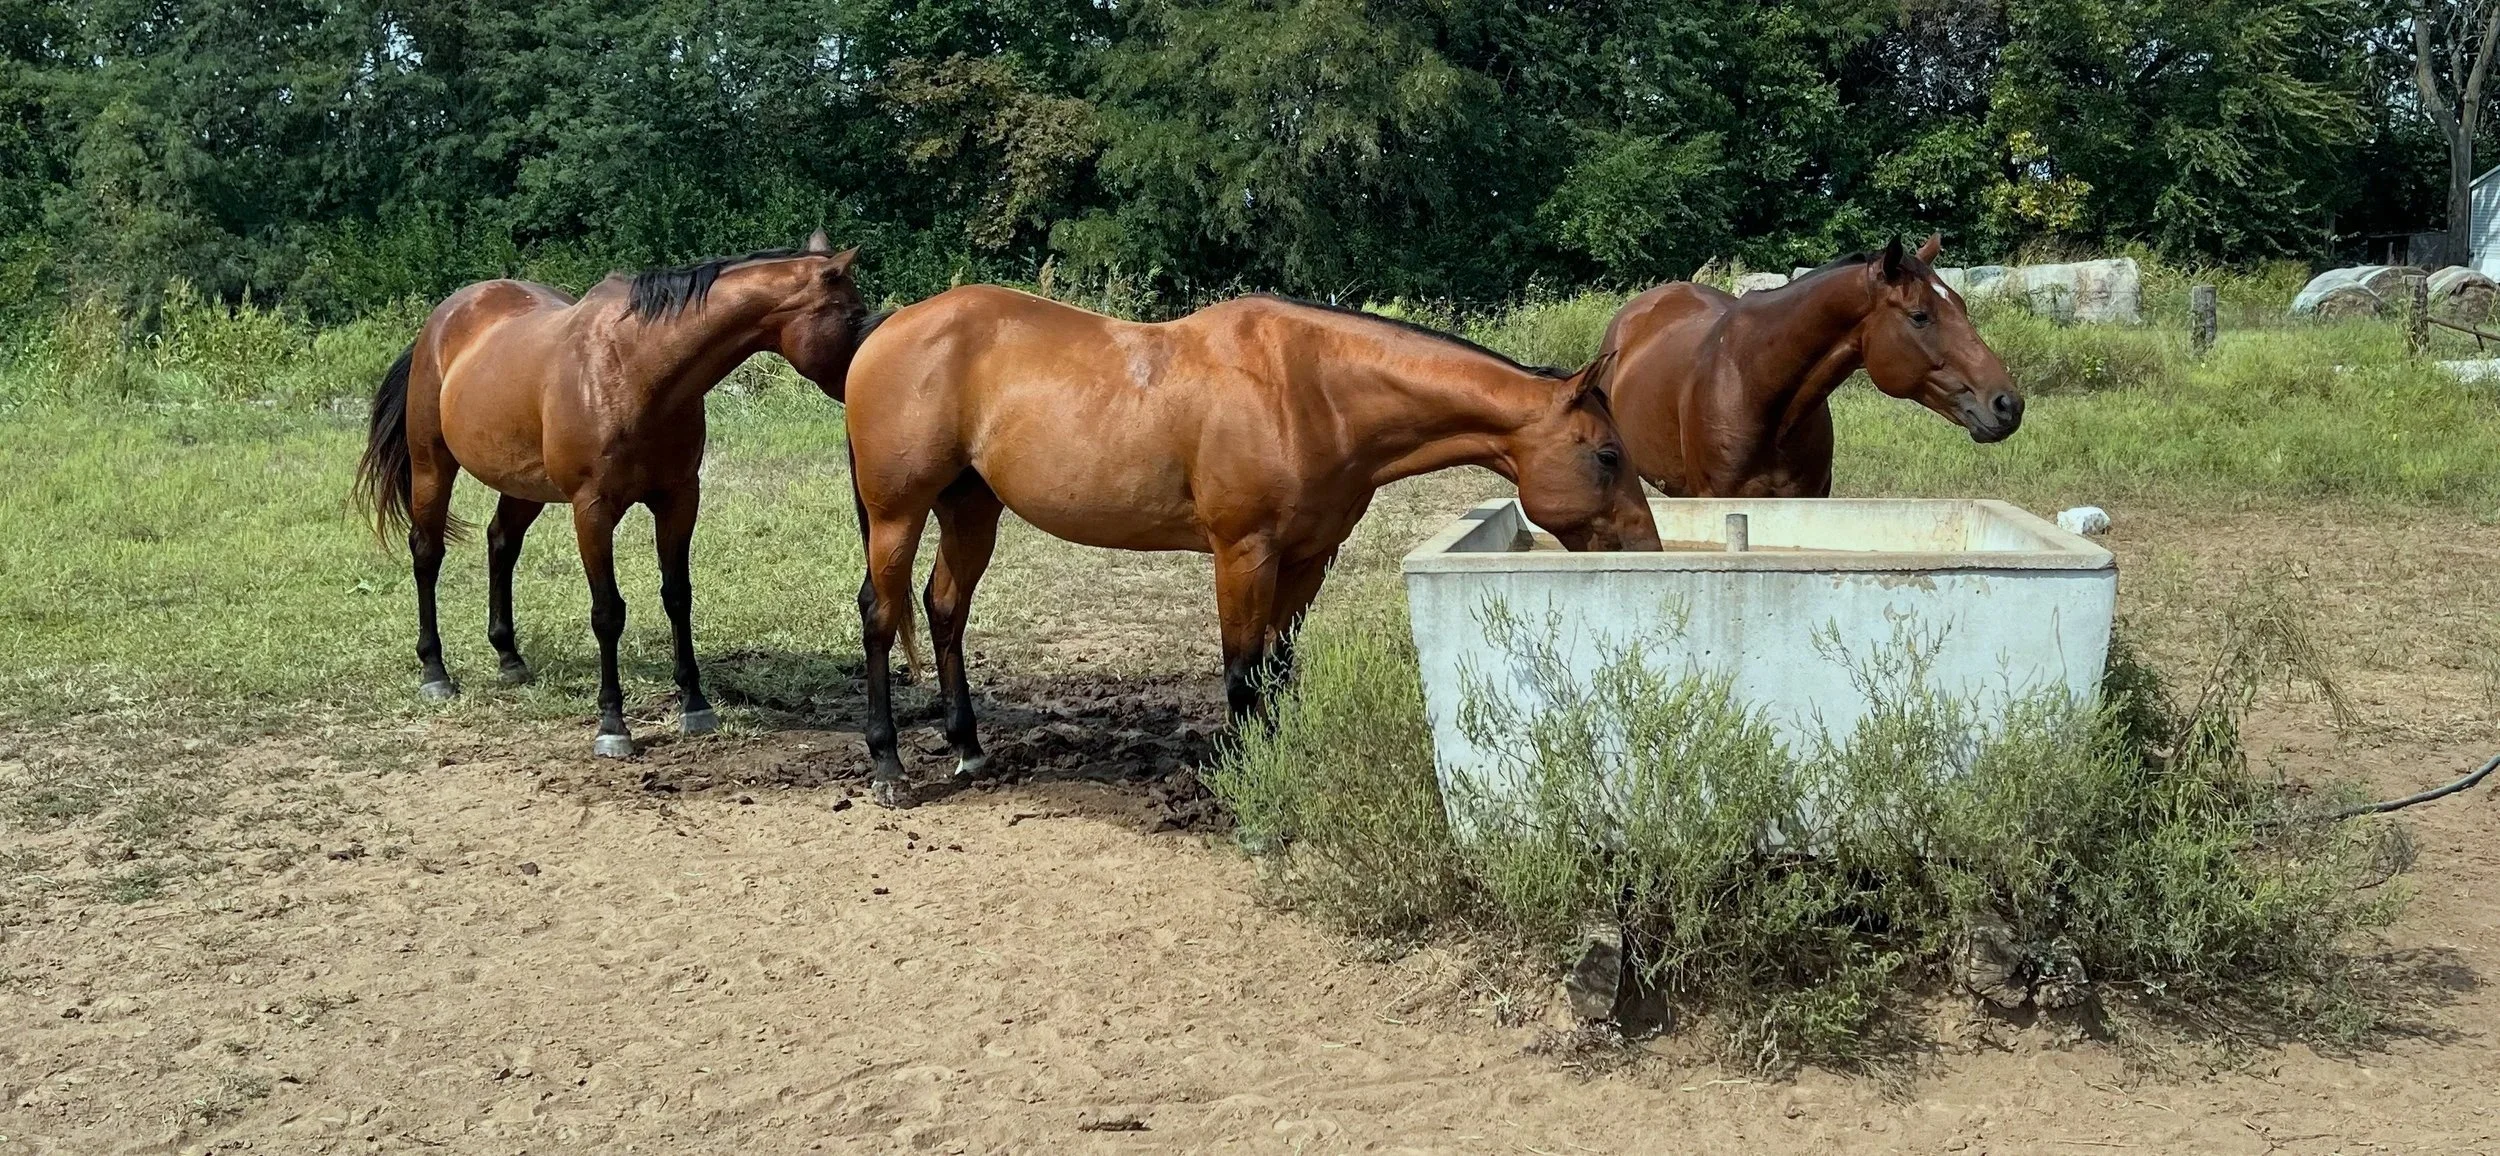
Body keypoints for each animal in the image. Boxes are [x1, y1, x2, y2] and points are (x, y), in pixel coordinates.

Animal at [352, 231, 870, 758]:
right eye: (853, 316)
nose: (867, 377)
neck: (636, 370)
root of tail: (440, 323)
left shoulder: (679, 499)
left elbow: (677, 595)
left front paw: (695, 704)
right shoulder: (593, 511)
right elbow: (607, 613)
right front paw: (612, 724)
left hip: (523, 484)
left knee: (501, 543)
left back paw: (509, 657)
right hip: (432, 467)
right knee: (427, 553)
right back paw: (435, 672)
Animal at [842, 287, 1663, 809]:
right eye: (1607, 455)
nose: (1648, 547)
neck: (1311, 392)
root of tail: (886, 331)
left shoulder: (1307, 559)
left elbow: (1277, 671)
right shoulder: (1245, 553)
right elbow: (1241, 674)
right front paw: (1245, 778)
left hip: (970, 509)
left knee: (945, 609)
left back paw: (969, 749)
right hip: (897, 514)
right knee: (880, 615)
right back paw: (888, 768)